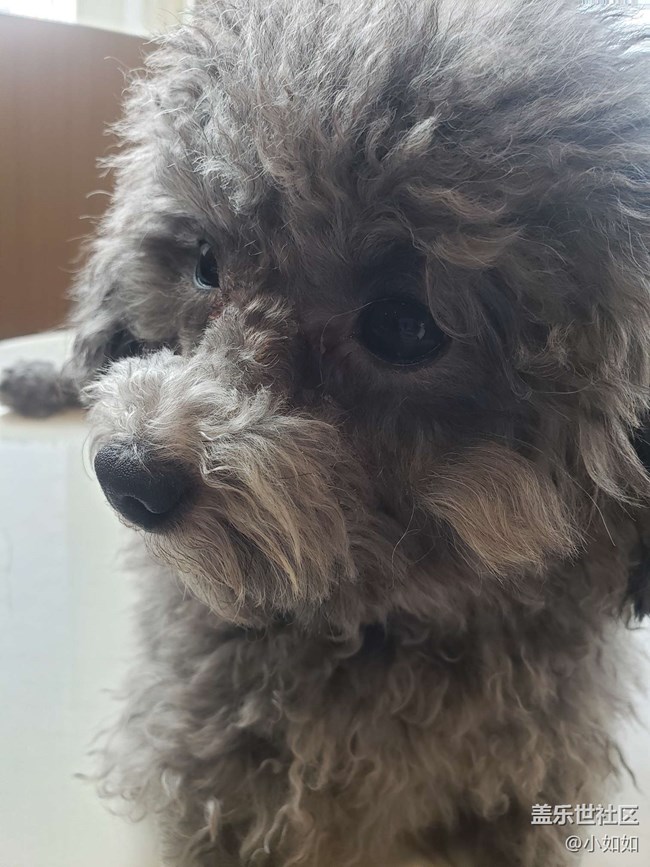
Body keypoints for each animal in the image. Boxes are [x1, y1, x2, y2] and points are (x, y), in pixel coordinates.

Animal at [3, 0, 650, 864]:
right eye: (205, 265)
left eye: (406, 327)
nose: (127, 475)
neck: (373, 629)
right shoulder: (212, 784)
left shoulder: (517, 799)